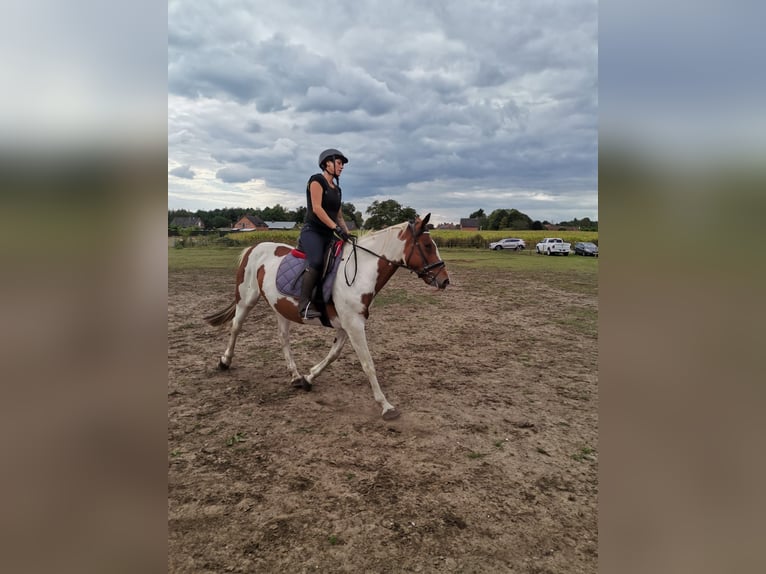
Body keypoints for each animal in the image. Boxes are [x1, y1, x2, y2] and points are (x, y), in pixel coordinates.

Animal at [202, 214, 450, 420]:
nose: (445, 280)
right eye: (427, 245)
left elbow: (333, 355)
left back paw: (294, 375)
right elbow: (368, 364)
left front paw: (308, 378)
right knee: (236, 327)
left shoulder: (346, 325)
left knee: (283, 338)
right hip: (246, 299)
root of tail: (254, 247)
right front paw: (386, 406)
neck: (362, 271)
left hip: (280, 307)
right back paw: (225, 361)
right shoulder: (354, 325)